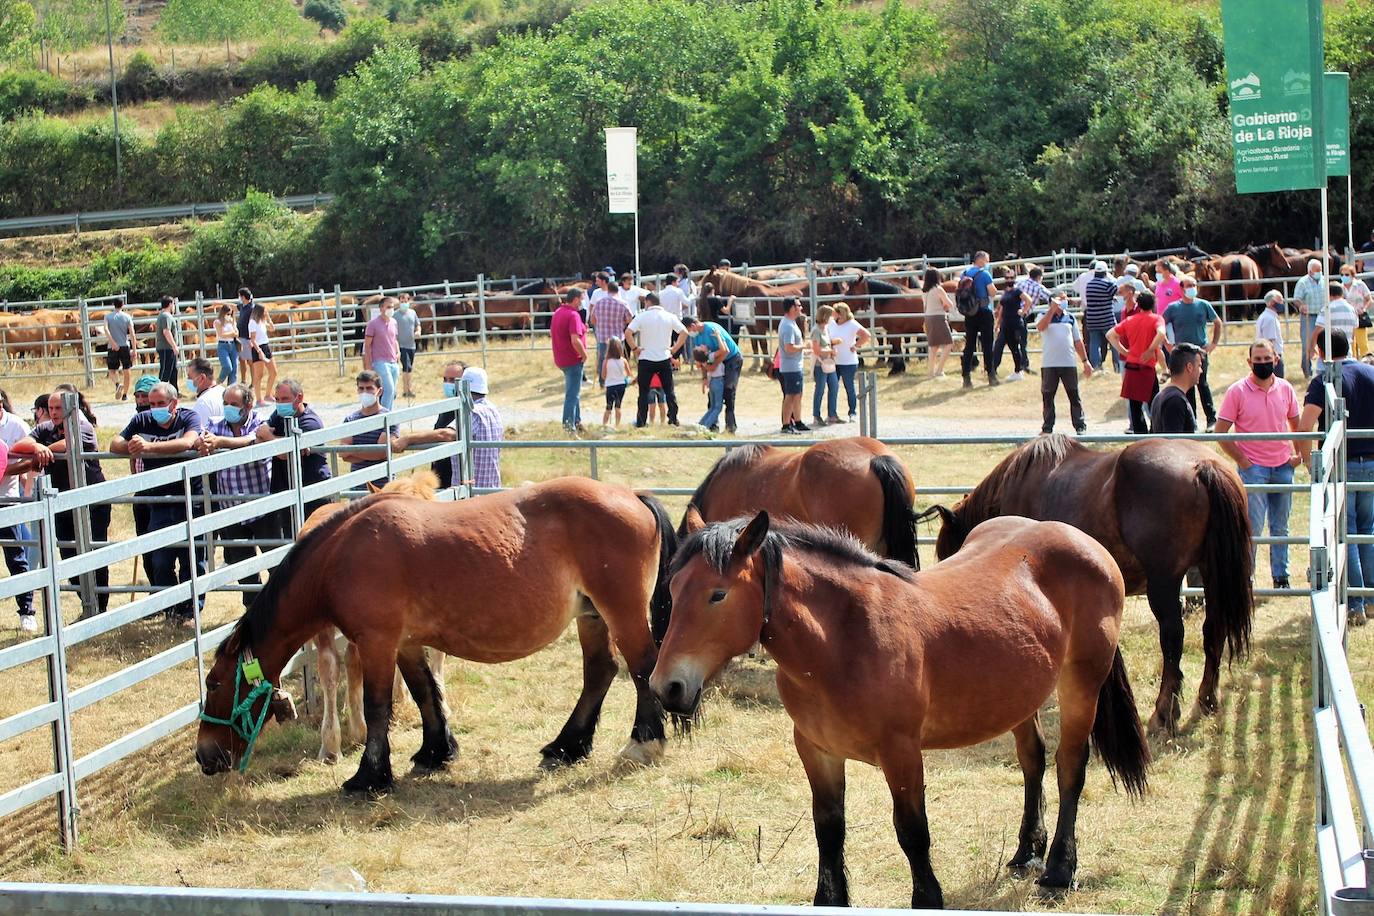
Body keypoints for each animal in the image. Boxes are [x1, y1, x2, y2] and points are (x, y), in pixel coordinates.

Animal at [196, 477, 678, 791]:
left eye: (214, 684)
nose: (204, 756)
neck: (343, 554)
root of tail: (632, 496)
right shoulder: (405, 643)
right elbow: (425, 692)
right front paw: (435, 752)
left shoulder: (376, 642)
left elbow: (377, 707)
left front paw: (369, 776)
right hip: (592, 616)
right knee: (600, 671)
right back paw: (566, 747)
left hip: (620, 612)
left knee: (641, 668)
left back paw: (644, 743)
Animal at [654, 513, 1148, 906]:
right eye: (674, 588)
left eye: (718, 594)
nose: (667, 687)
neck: (844, 641)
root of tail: (1083, 540)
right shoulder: (816, 750)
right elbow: (828, 829)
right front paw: (830, 900)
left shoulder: (902, 753)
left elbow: (912, 832)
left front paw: (927, 899)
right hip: (1019, 695)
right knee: (1033, 760)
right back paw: (1027, 851)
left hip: (1081, 684)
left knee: (1070, 767)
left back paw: (1059, 870)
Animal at [917, 433, 1253, 736]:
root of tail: (1203, 465)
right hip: (1210, 572)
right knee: (1214, 629)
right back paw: (1206, 700)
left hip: (1165, 581)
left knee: (1172, 639)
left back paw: (1163, 714)